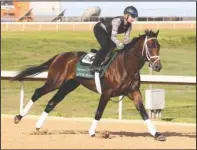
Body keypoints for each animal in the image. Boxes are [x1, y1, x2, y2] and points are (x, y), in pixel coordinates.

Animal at [10, 29, 165, 141]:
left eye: (158, 46)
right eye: (150, 46)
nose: (157, 66)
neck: (125, 66)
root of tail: (60, 55)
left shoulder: (134, 92)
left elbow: (144, 113)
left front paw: (157, 134)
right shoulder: (106, 93)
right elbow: (99, 112)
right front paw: (91, 132)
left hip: (69, 85)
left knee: (52, 102)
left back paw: (38, 125)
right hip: (55, 82)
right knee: (38, 93)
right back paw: (18, 117)